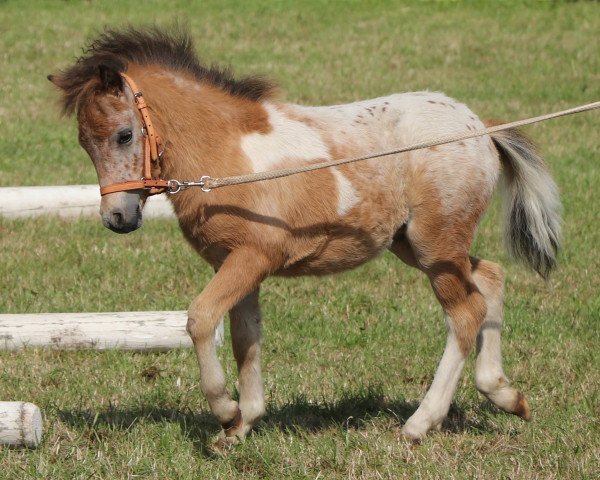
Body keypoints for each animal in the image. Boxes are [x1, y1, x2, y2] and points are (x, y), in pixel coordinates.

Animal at [49, 25, 560, 446]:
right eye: (83, 142)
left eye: (123, 135)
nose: (117, 217)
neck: (227, 155)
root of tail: (481, 128)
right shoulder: (236, 264)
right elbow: (244, 337)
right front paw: (241, 426)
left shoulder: (253, 257)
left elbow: (200, 319)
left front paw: (226, 410)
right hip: (417, 245)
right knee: (490, 277)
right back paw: (505, 395)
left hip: (436, 243)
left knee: (465, 312)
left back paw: (420, 423)